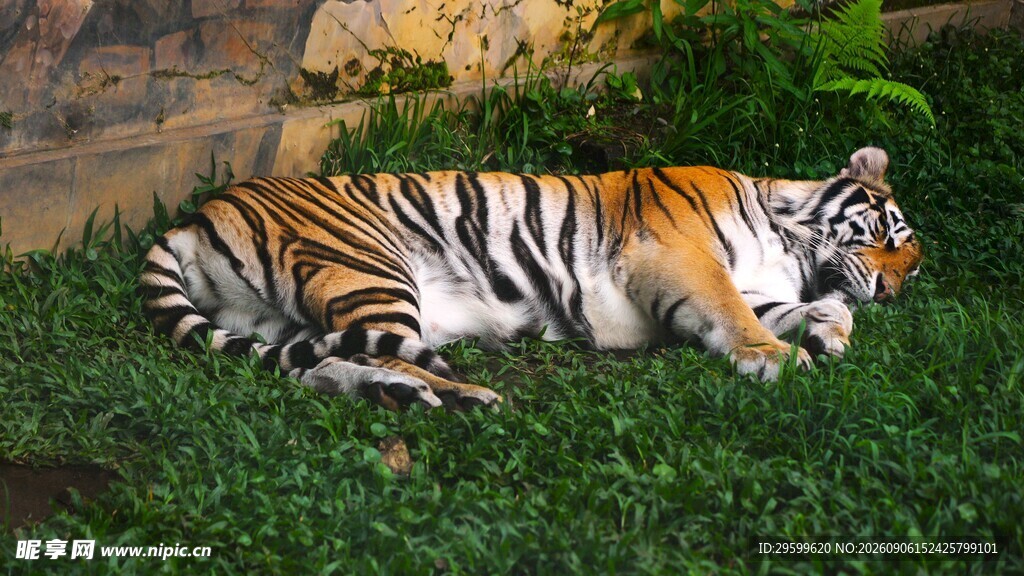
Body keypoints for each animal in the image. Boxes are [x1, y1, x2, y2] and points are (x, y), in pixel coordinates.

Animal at [139, 146, 923, 410]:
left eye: (911, 272)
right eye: (888, 237)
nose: (892, 289)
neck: (787, 241)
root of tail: (197, 214)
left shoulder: (760, 281)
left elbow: (807, 310)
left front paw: (830, 335)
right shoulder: (682, 256)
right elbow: (734, 314)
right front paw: (775, 358)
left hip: (300, 318)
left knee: (316, 368)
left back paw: (407, 395)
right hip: (371, 269)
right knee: (377, 354)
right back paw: (467, 395)